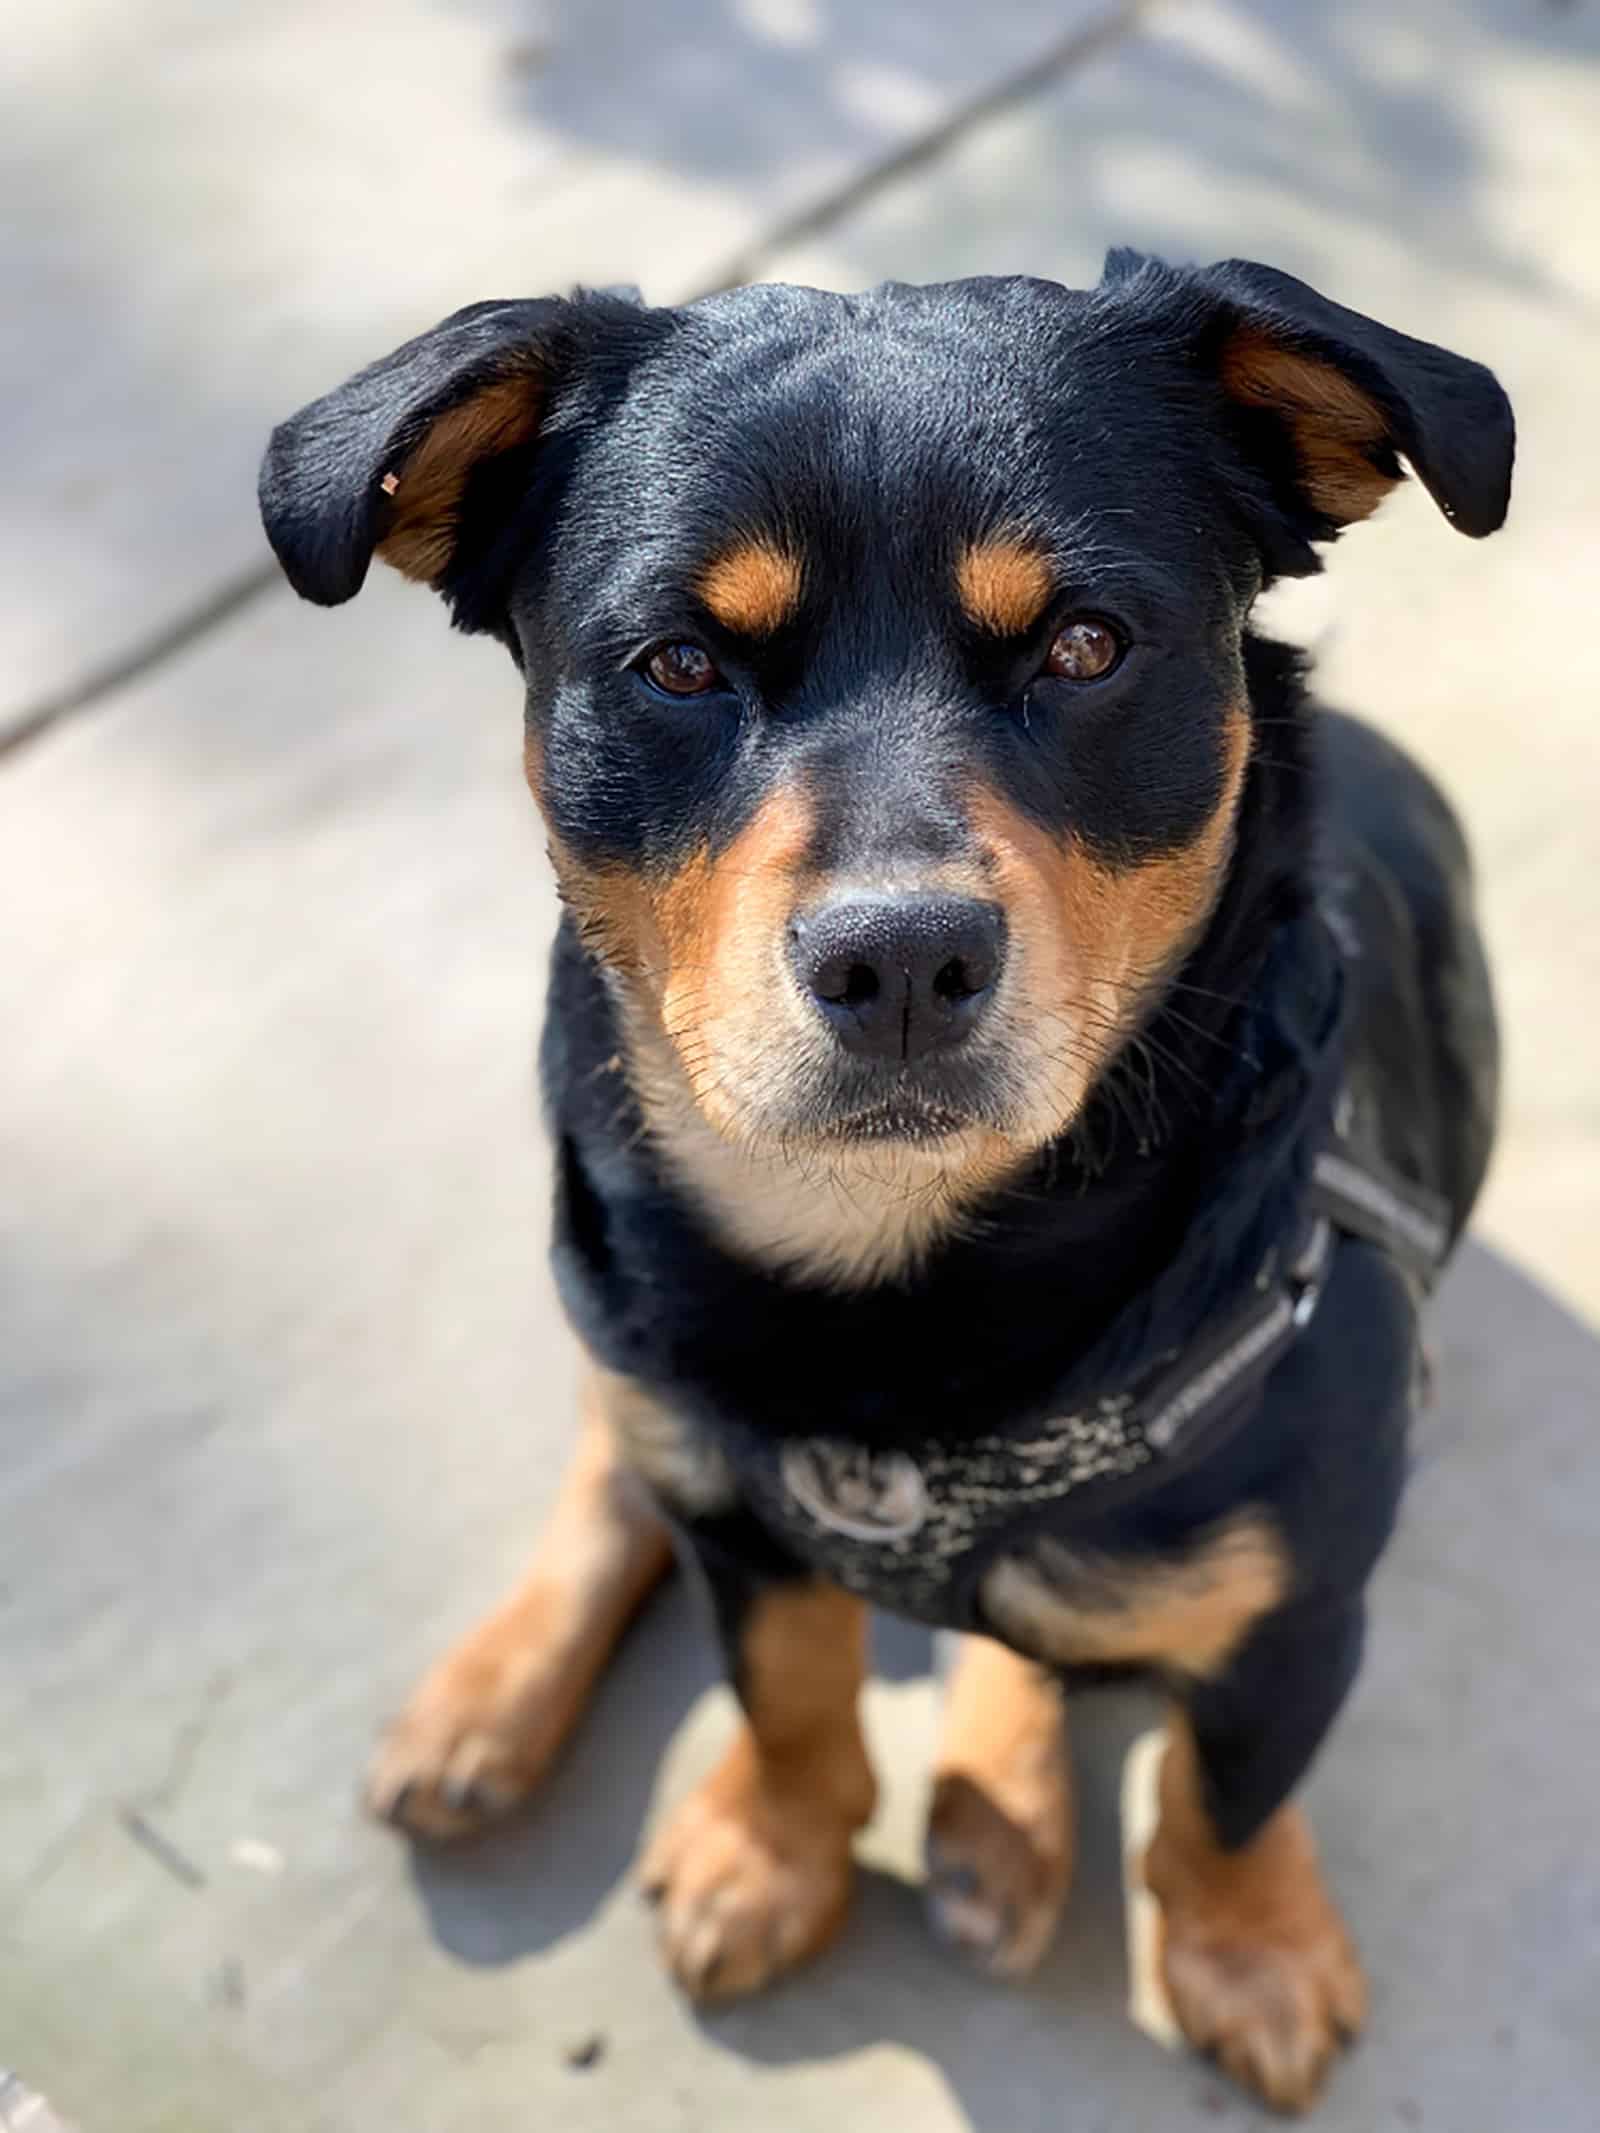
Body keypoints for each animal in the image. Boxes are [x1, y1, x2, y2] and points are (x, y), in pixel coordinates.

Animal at [260, 253, 1518, 2115]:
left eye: (1085, 644)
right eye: (681, 663)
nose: (903, 957)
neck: (903, 1279)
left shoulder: (1301, 1611)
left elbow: (1227, 1795)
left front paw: (1251, 1948)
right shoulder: (737, 1489)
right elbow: (783, 1688)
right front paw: (774, 1844)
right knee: (618, 1458)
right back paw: (490, 1695)